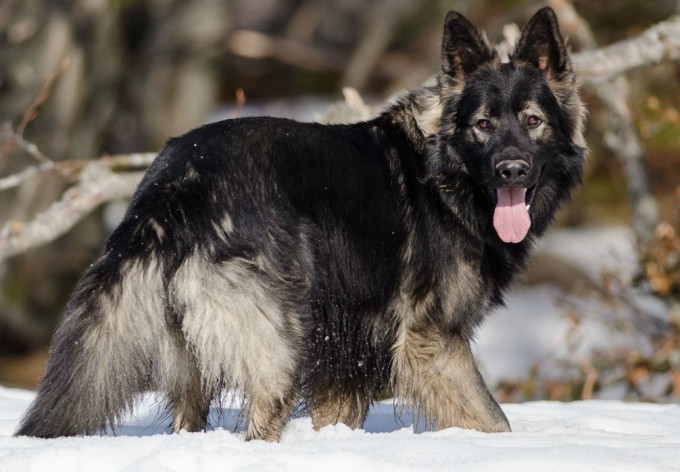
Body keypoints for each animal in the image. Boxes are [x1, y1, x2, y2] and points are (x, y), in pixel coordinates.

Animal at [18, 7, 588, 440]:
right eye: (483, 125)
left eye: (532, 121)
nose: (511, 170)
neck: (445, 173)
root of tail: (174, 186)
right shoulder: (432, 341)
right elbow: (493, 420)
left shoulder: (349, 361)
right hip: (281, 350)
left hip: (193, 363)